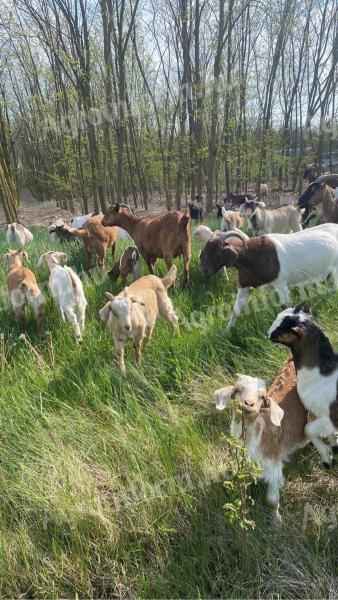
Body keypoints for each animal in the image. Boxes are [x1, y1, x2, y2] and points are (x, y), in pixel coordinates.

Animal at [199, 225, 338, 330]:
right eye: (206, 250)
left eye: (217, 251)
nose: (205, 271)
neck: (253, 256)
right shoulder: (244, 284)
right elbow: (236, 310)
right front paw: (227, 332)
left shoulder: (281, 283)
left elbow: (285, 306)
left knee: (333, 288)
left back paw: (320, 303)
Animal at [215, 358, 308, 516]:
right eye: (237, 390)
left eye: (262, 397)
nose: (249, 404)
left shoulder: (274, 466)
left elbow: (271, 501)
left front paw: (276, 519)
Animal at [268, 304, 336, 468]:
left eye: (284, 329)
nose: (268, 333)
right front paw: (333, 450)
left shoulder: (327, 417)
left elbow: (308, 430)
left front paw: (327, 459)